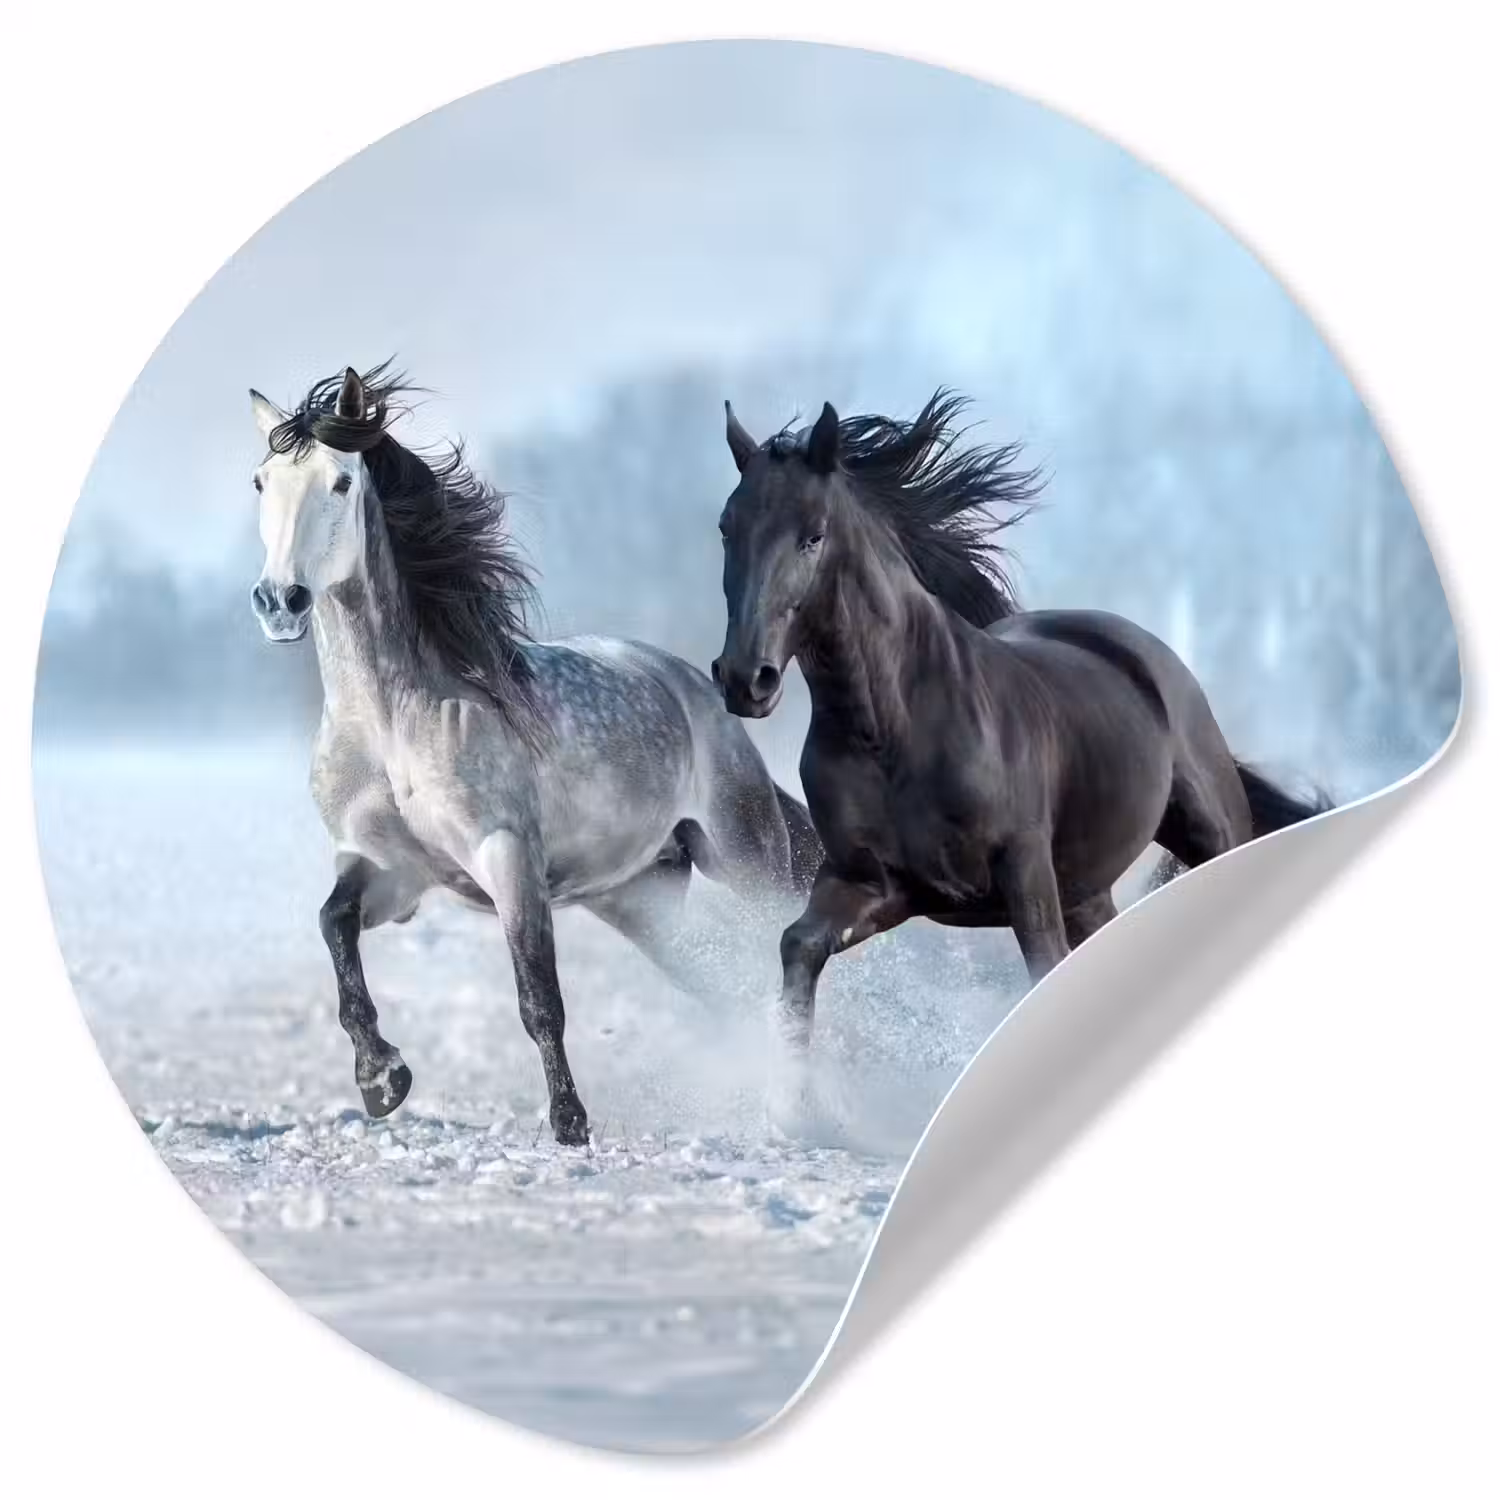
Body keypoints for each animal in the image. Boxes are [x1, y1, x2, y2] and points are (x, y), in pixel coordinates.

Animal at [247, 362, 821, 1145]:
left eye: (340, 482)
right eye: (260, 481)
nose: (281, 601)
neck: (393, 724)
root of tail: (694, 688)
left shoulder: (508, 857)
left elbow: (538, 998)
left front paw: (570, 1124)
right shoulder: (390, 869)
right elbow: (333, 928)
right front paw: (382, 1079)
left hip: (746, 859)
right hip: (639, 900)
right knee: (725, 987)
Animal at [710, 390, 1331, 1052]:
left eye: (814, 536)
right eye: (727, 528)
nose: (746, 678)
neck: (893, 732)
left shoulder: (1026, 874)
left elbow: (1041, 972)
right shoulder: (871, 884)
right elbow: (798, 946)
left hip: (1207, 832)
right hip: (1086, 893)